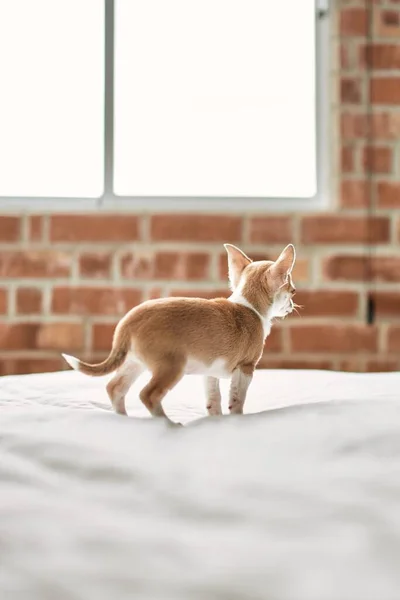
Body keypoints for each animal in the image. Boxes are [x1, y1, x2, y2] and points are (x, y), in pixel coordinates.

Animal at [62, 241, 296, 420]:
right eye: (292, 291)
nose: (292, 305)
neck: (248, 304)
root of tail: (129, 320)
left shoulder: (210, 371)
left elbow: (213, 399)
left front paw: (216, 420)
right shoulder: (246, 368)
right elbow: (236, 399)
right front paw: (236, 418)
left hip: (134, 362)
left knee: (115, 387)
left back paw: (123, 418)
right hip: (171, 366)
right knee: (148, 395)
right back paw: (166, 422)